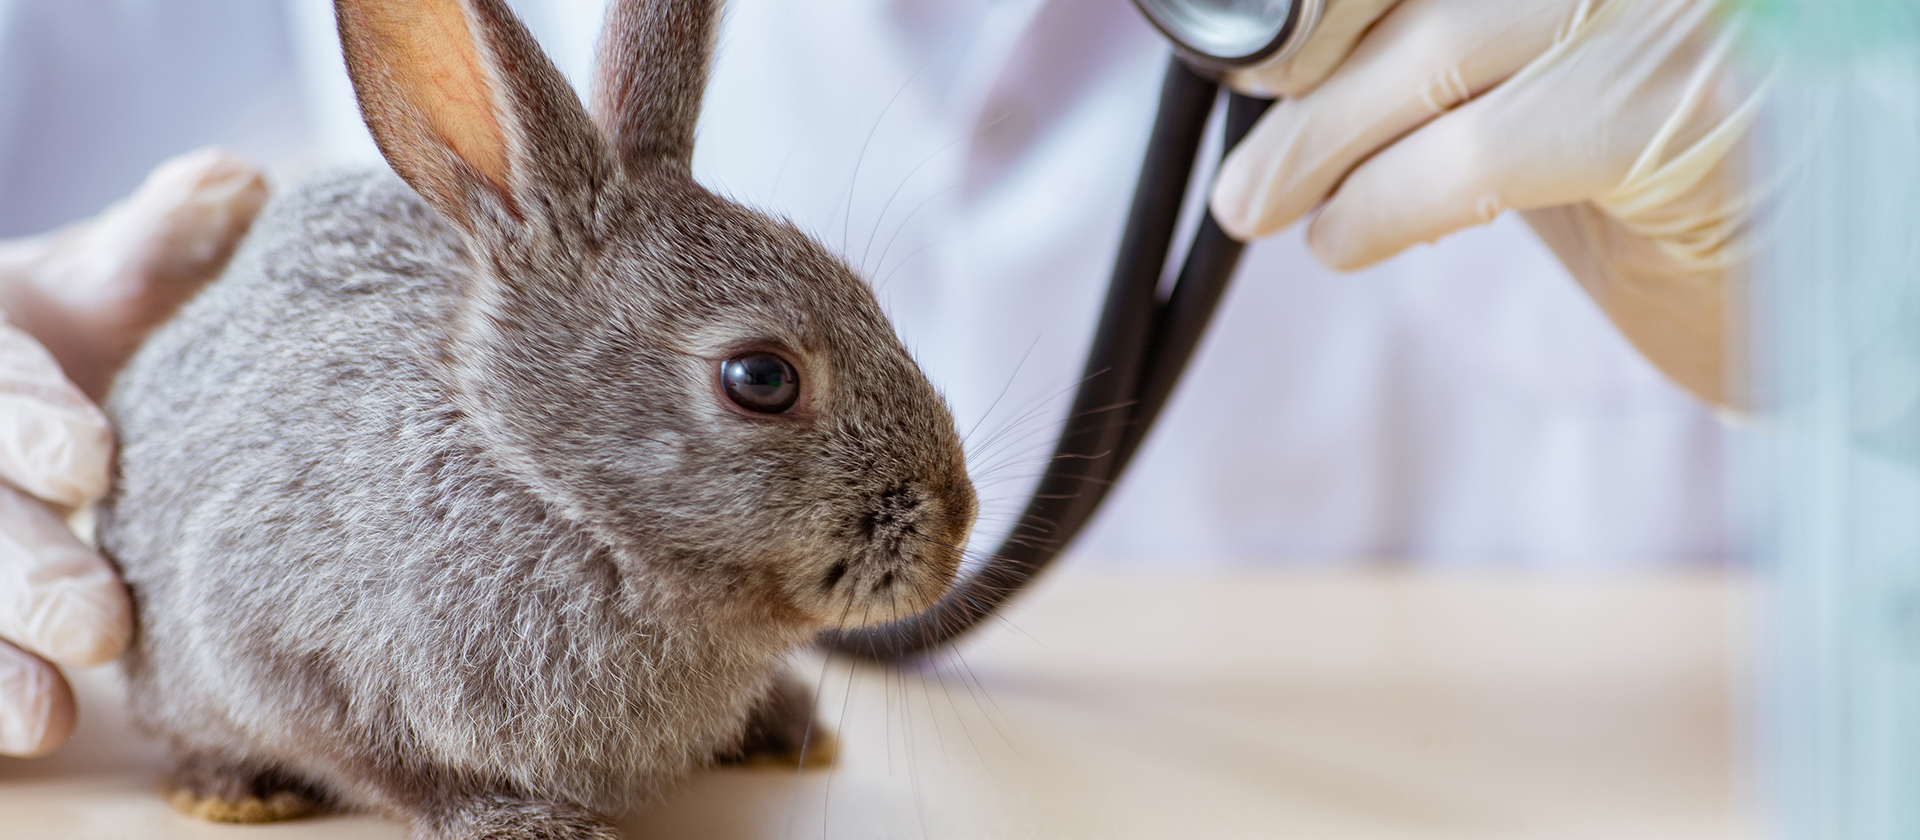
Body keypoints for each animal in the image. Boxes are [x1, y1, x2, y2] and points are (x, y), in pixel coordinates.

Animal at [95, 0, 975, 836]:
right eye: (760, 378)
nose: (955, 527)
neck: (548, 489)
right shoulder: (265, 639)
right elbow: (382, 765)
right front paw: (516, 824)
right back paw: (229, 789)